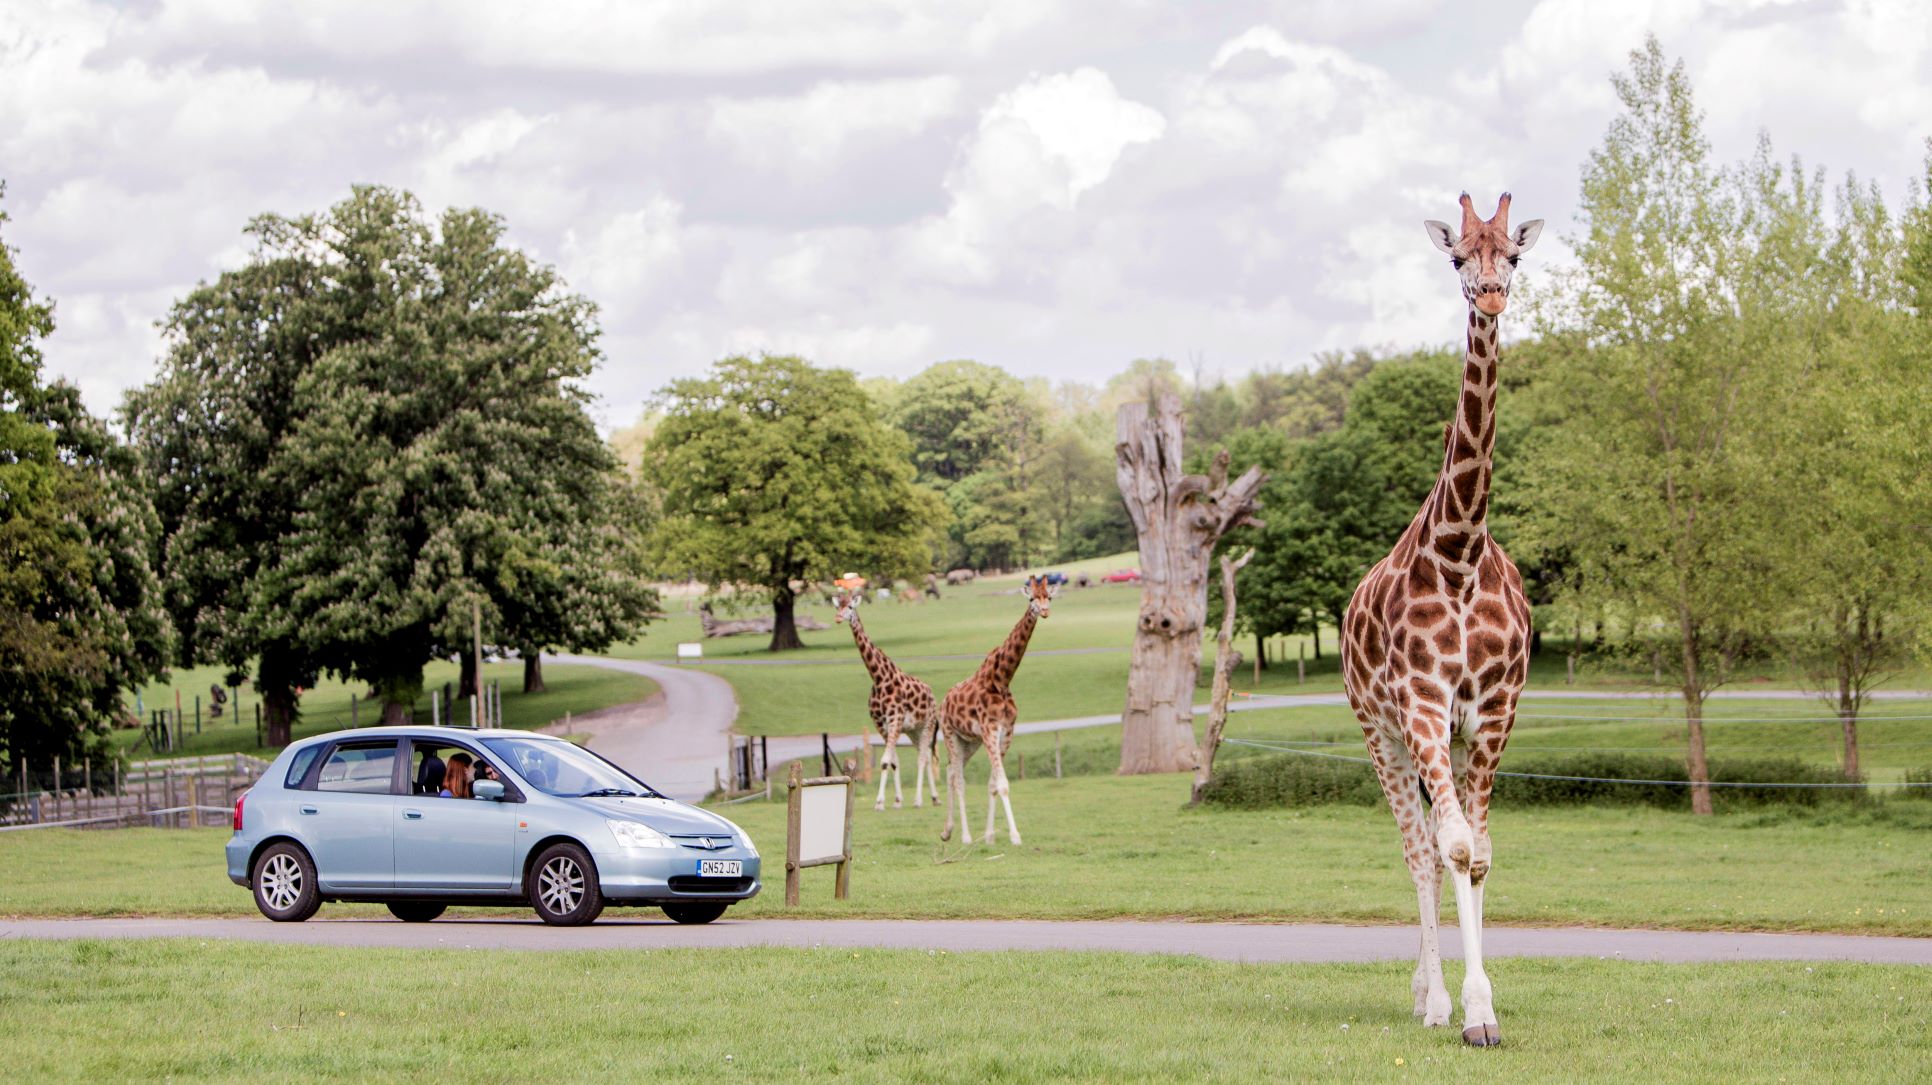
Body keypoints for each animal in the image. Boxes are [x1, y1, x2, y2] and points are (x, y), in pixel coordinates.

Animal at [838, 586, 942, 806]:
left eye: (850, 606)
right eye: (838, 606)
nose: (838, 617)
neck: (879, 678)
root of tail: (933, 697)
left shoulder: (894, 720)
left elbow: (886, 761)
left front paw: (880, 802)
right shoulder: (882, 725)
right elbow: (893, 761)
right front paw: (896, 800)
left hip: (927, 725)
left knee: (923, 757)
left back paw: (919, 799)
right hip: (914, 730)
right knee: (925, 756)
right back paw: (934, 797)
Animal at [935, 575, 1058, 845]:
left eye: (1049, 597)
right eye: (1032, 598)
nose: (1044, 611)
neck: (1002, 678)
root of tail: (944, 702)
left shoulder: (1006, 732)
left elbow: (993, 784)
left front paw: (990, 836)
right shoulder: (990, 730)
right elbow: (1002, 784)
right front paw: (1015, 836)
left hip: (970, 741)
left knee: (951, 771)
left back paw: (947, 831)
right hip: (950, 734)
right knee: (958, 779)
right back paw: (965, 836)